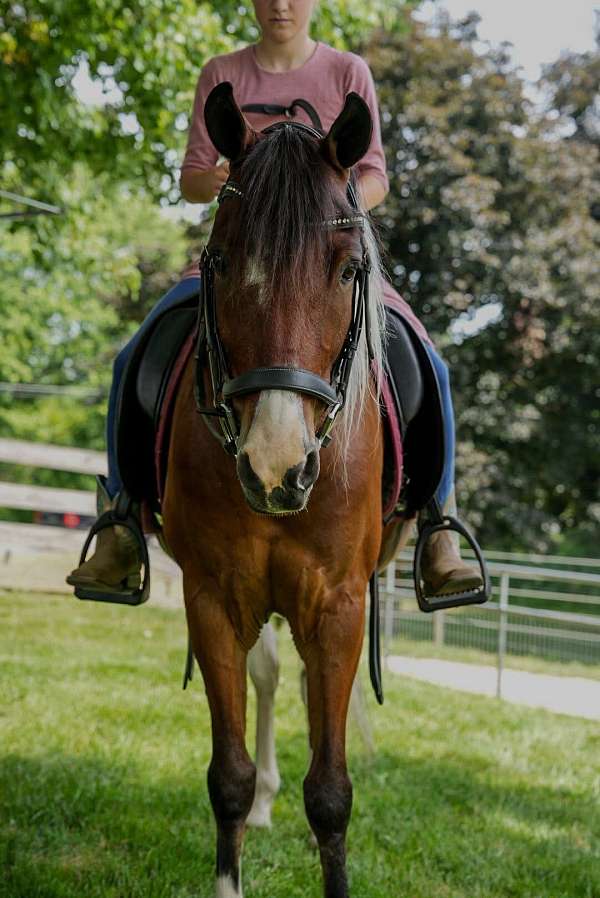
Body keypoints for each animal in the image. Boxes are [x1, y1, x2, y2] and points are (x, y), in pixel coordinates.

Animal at [162, 81, 409, 898]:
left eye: (347, 270)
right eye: (219, 261)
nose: (277, 466)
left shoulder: (338, 602)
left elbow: (331, 791)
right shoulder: (211, 597)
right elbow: (229, 776)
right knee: (271, 679)